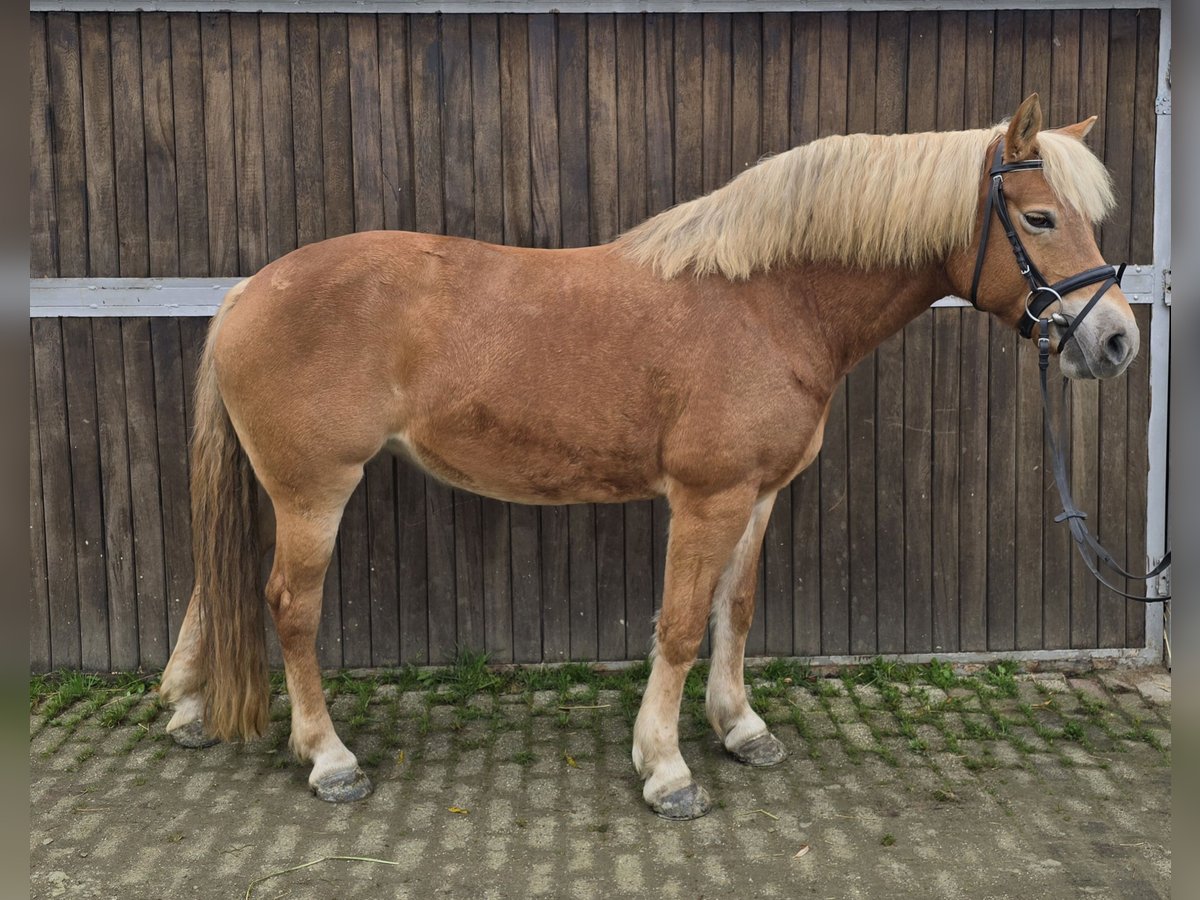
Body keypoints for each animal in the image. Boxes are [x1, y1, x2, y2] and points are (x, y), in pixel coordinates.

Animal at [157, 95, 1132, 820]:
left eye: (1089, 220)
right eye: (1040, 217)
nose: (1116, 341)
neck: (768, 302)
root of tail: (248, 292)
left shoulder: (758, 495)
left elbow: (734, 611)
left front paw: (740, 729)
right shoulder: (707, 497)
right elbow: (679, 624)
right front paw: (665, 769)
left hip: (276, 486)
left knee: (212, 587)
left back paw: (190, 710)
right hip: (314, 490)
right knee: (288, 607)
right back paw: (329, 758)